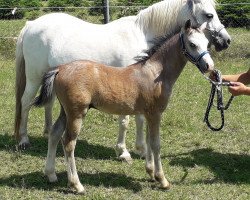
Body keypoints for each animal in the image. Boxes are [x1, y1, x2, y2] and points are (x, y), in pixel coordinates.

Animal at [15, 0, 230, 162]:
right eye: (209, 15)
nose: (226, 41)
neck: (142, 34)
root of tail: (31, 24)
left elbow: (140, 118)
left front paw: (141, 149)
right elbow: (125, 120)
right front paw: (124, 152)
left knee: (48, 104)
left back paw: (47, 131)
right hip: (34, 77)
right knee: (25, 102)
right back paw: (24, 140)